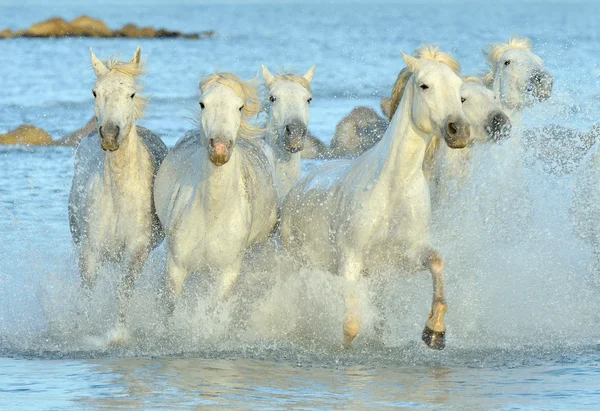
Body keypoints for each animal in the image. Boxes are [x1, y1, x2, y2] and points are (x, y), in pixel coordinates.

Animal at [69, 46, 170, 342]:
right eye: (95, 92)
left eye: (131, 94)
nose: (110, 135)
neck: (117, 195)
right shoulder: (90, 251)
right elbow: (88, 290)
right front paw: (84, 329)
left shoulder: (135, 251)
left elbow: (124, 290)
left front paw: (117, 333)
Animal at [154, 72, 278, 314]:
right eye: (202, 104)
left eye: (239, 107)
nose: (220, 148)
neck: (212, 213)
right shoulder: (175, 269)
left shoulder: (227, 273)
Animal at [278, 47, 472, 350]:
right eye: (424, 85)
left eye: (459, 91)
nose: (459, 130)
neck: (392, 189)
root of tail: (300, 186)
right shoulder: (351, 260)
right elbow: (350, 326)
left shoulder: (402, 257)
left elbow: (437, 262)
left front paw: (435, 331)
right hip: (295, 260)